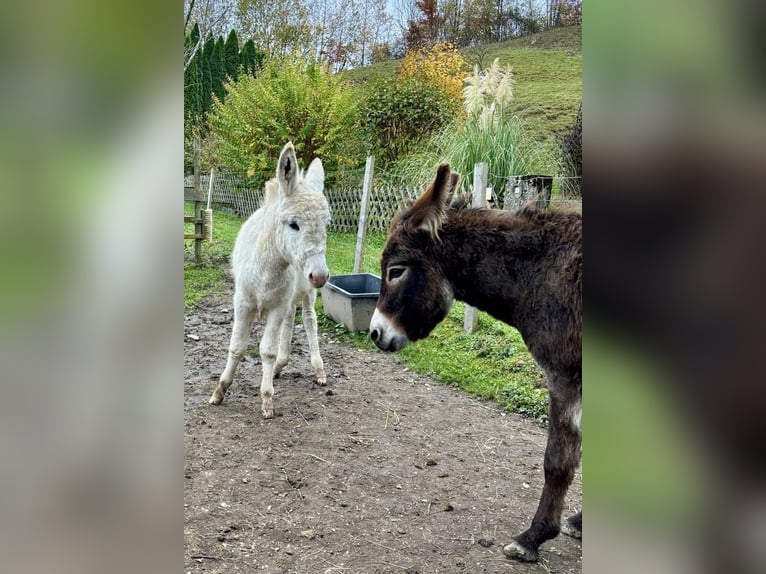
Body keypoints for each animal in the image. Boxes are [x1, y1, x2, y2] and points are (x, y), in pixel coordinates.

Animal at [210, 141, 330, 418]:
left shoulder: (276, 306)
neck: (267, 269)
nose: (320, 276)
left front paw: (266, 399)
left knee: (309, 322)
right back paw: (279, 367)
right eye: (293, 224)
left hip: (306, 294)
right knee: (291, 321)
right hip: (289, 297)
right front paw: (220, 390)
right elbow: (237, 346)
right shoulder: (243, 303)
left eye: (327, 224)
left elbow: (266, 350)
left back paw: (317, 370)